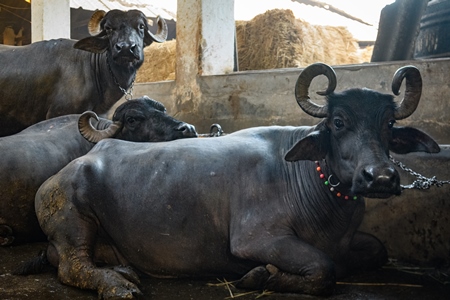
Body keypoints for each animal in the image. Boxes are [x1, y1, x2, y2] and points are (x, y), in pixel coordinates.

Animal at [31, 63, 440, 298]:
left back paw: (121, 269)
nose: (380, 177)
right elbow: (326, 270)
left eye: (389, 123)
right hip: (72, 218)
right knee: (73, 266)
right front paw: (263, 276)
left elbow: (377, 250)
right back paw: (117, 285)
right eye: (338, 122)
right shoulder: (256, 239)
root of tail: (70, 168)